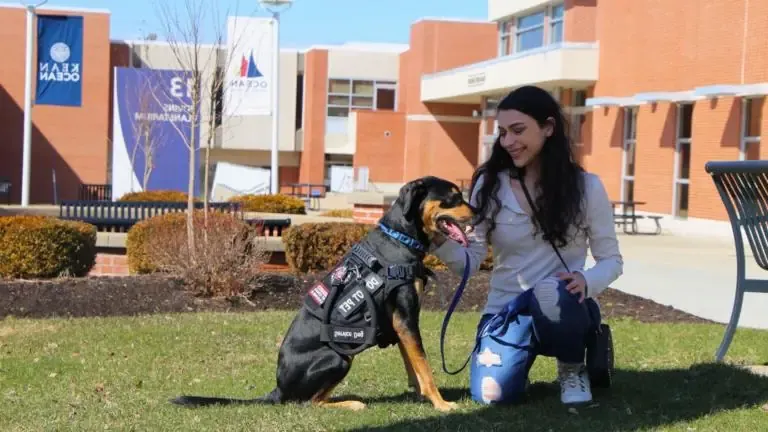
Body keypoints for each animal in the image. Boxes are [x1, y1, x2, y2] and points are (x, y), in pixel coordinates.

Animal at [170, 176, 474, 412]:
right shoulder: (406, 317)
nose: (480, 214)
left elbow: (413, 364)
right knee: (310, 403)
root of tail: (278, 389)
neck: (400, 237)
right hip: (338, 357)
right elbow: (425, 366)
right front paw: (440, 403)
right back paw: (351, 403)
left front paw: (420, 395)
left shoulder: (401, 322)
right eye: (453, 197)